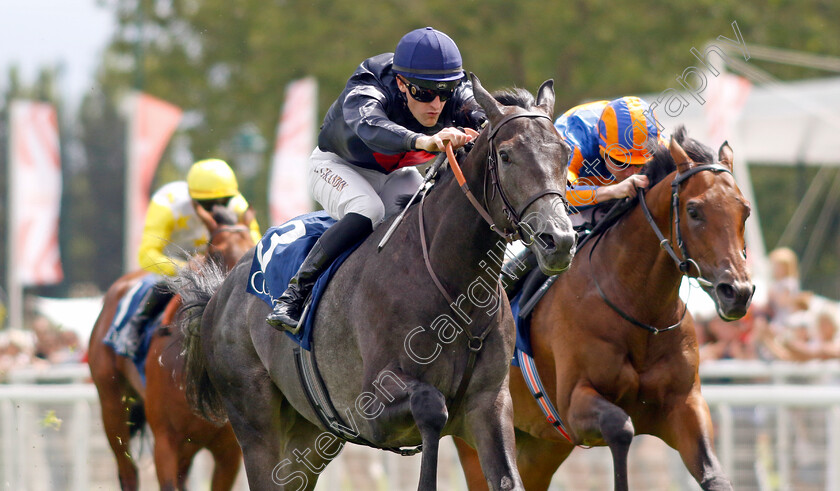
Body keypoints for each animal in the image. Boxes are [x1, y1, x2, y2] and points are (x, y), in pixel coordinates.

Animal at [173, 74, 576, 491]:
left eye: (565, 153)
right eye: (507, 155)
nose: (558, 240)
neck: (455, 289)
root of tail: (219, 295)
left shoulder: (490, 404)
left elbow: (507, 477)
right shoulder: (372, 409)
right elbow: (432, 408)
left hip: (309, 437)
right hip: (255, 425)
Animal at [460, 128, 756, 491]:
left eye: (744, 211)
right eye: (694, 210)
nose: (737, 292)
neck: (640, 310)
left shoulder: (685, 405)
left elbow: (715, 476)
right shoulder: (574, 404)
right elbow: (621, 427)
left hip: (540, 446)